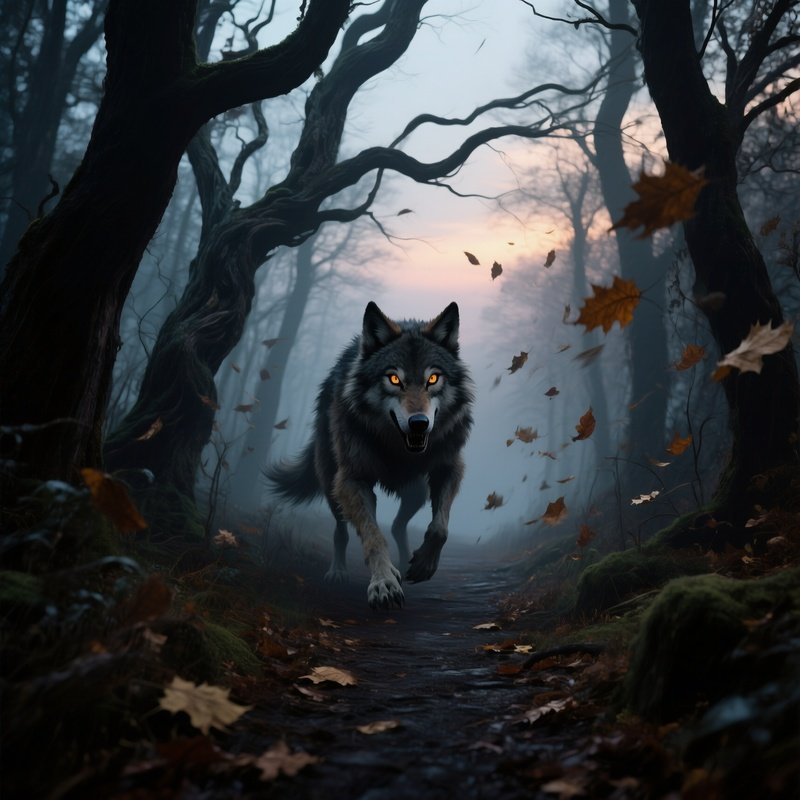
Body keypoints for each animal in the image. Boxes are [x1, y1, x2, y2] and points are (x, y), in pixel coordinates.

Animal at [267, 301, 474, 609]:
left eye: (433, 378)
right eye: (394, 379)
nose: (419, 423)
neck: (399, 449)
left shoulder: (449, 467)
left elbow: (439, 528)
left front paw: (423, 564)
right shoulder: (354, 480)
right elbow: (373, 537)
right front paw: (384, 584)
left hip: (417, 492)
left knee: (398, 526)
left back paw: (406, 562)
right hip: (333, 484)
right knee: (341, 531)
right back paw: (340, 570)